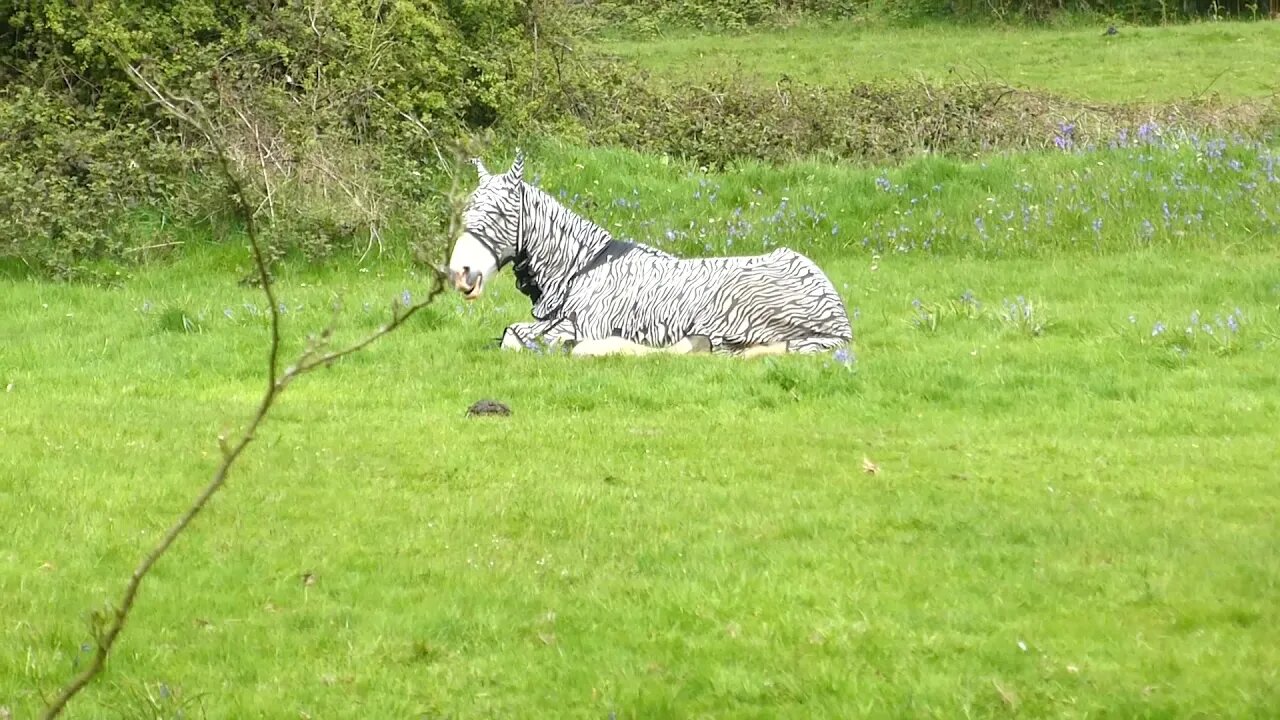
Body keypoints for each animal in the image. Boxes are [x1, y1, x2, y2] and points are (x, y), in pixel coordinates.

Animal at [445, 150, 853, 358]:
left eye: (499, 215)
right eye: (465, 211)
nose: (459, 272)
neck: (583, 269)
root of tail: (839, 317)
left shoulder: (586, 325)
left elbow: (530, 339)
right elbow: (512, 335)